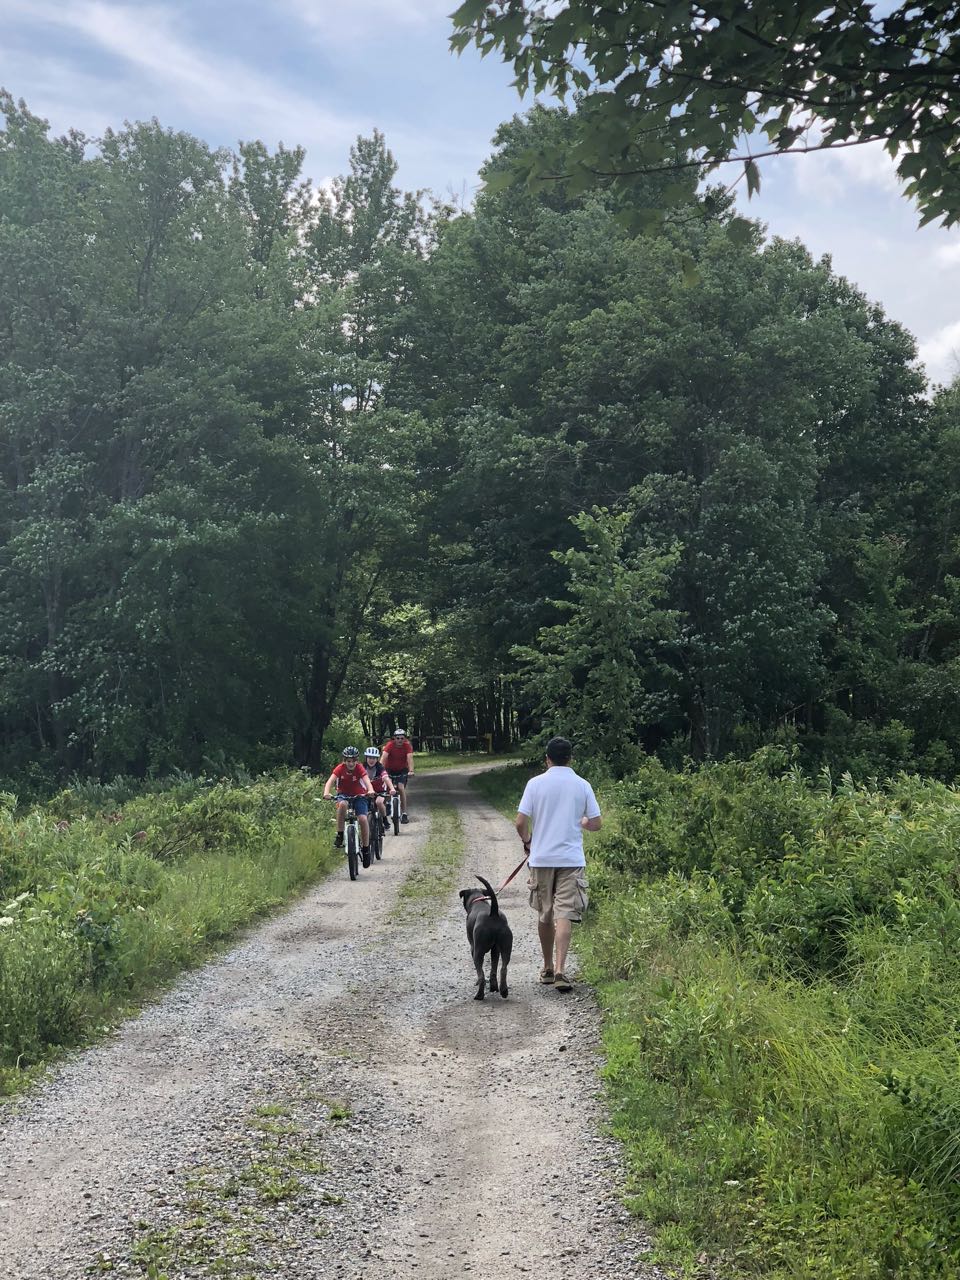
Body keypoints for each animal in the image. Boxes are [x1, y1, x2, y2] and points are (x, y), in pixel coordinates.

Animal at [463, 875, 514, 1003]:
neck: (478, 900)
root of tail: (493, 913)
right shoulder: (495, 950)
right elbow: (493, 968)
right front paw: (493, 986)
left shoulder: (473, 948)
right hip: (506, 948)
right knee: (503, 969)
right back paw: (503, 991)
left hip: (478, 951)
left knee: (481, 975)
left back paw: (479, 995)